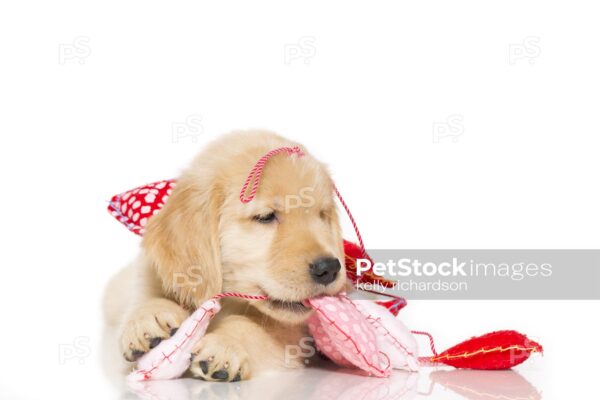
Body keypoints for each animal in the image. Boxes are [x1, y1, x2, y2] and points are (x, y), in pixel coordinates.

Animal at [103, 131, 346, 382]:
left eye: (322, 216)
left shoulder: (292, 336)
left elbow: (254, 328)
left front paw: (225, 345)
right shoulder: (148, 275)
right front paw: (148, 318)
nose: (329, 268)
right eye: (266, 217)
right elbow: (146, 298)